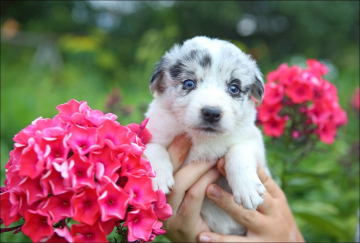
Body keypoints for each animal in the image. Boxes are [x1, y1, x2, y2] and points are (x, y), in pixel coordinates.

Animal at [143, 36, 270, 235]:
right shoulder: (151, 130)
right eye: (189, 83)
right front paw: (159, 178)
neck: (201, 139)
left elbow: (238, 151)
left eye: (234, 88)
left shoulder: (254, 142)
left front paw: (248, 189)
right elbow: (154, 148)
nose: (211, 113)